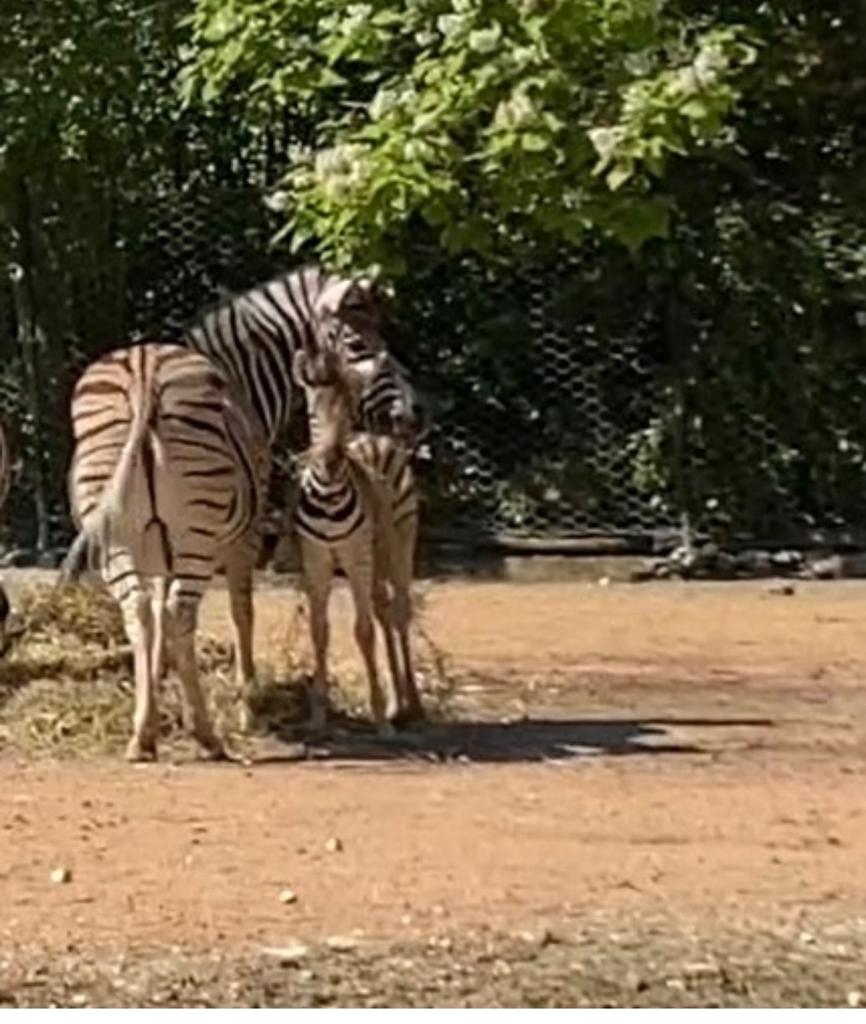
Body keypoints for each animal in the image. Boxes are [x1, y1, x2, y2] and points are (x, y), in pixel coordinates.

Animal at [67, 344, 264, 761]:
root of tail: (144, 370)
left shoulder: (157, 551)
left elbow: (156, 612)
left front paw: (154, 685)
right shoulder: (246, 539)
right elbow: (242, 613)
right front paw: (248, 707)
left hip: (117, 534)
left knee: (138, 610)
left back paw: (142, 735)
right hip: (197, 532)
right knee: (179, 612)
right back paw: (205, 733)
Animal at [294, 348, 423, 733]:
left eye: (348, 411)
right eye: (312, 410)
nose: (329, 462)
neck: (328, 495)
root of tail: (376, 438)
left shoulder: (355, 557)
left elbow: (363, 631)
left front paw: (379, 716)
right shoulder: (316, 559)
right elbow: (319, 630)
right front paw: (318, 716)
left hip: (398, 543)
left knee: (399, 611)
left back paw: (411, 704)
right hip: (375, 555)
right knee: (383, 608)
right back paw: (399, 703)